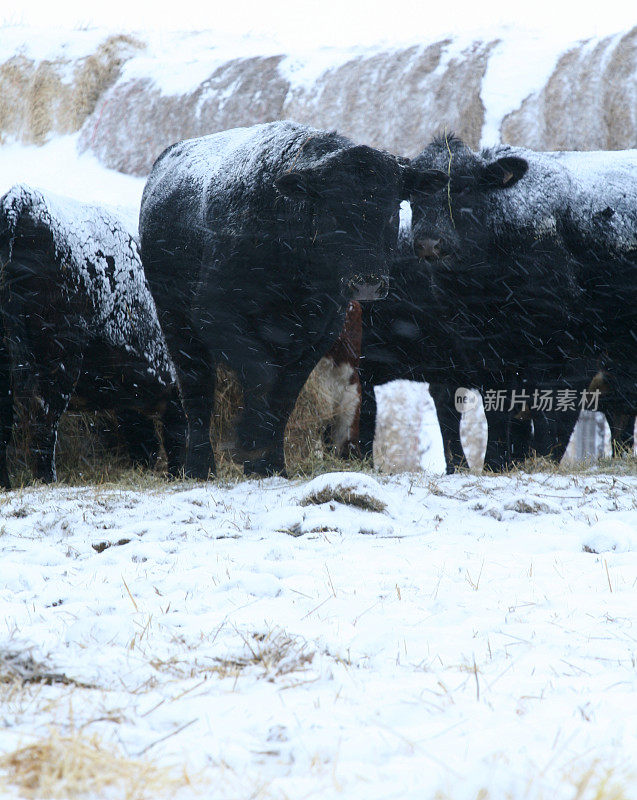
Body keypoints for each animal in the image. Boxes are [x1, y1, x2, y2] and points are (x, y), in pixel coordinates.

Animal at [139, 122, 448, 478]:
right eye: (333, 211)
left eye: (392, 210)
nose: (367, 282)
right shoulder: (216, 315)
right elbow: (261, 376)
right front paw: (248, 441)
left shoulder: (320, 332)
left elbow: (284, 396)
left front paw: (270, 464)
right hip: (176, 322)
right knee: (198, 391)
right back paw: (199, 467)